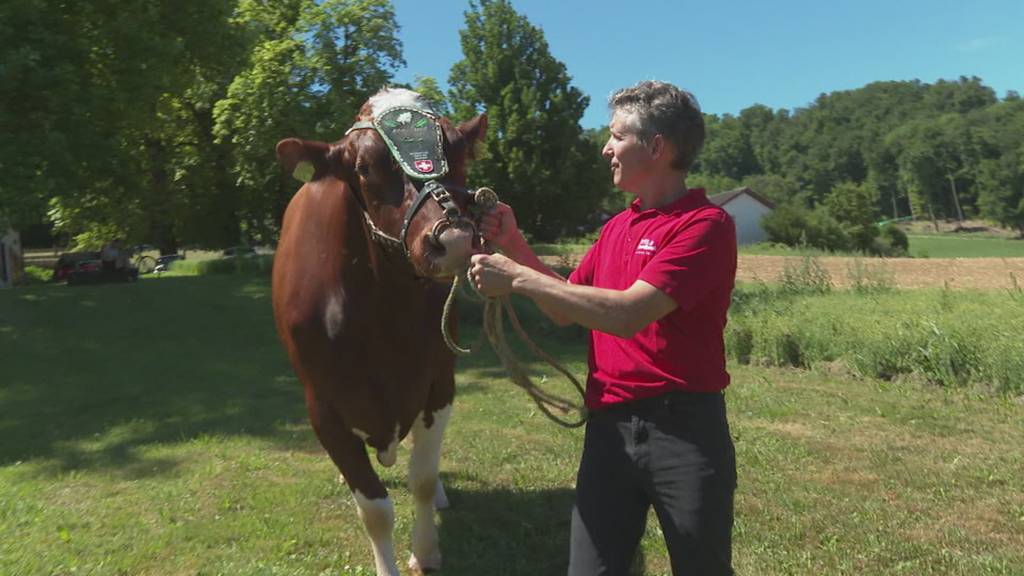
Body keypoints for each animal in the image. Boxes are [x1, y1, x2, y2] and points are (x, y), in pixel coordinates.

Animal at [272, 88, 487, 573]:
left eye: (457, 154)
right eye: (364, 167)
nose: (453, 240)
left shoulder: (439, 384)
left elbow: (422, 477)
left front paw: (425, 551)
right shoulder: (323, 409)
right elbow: (374, 508)